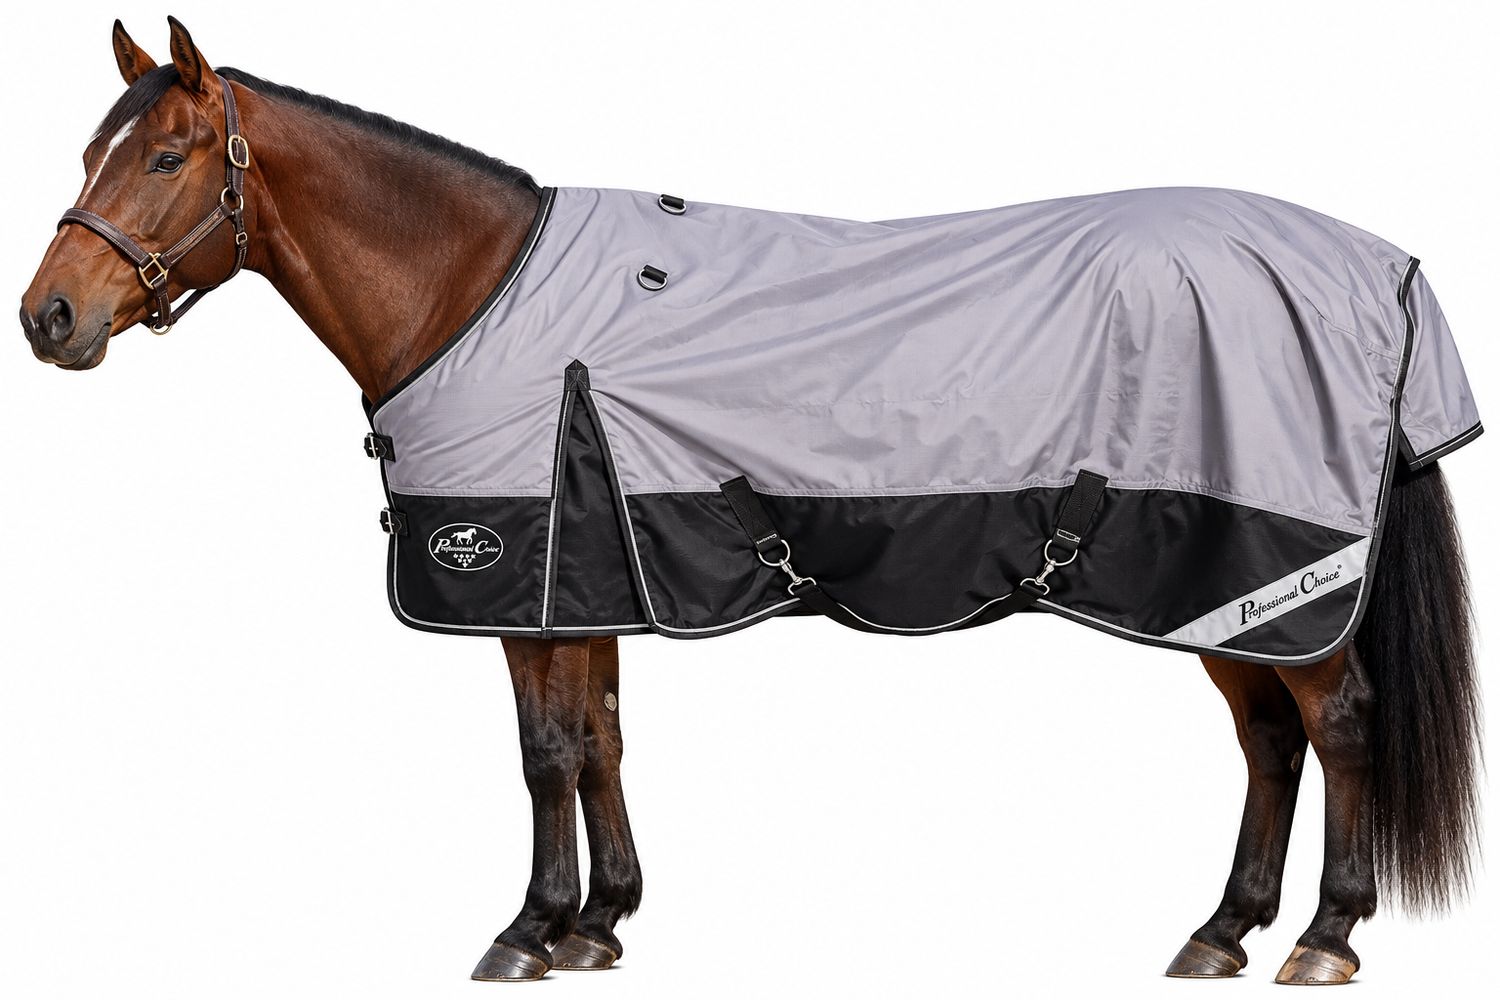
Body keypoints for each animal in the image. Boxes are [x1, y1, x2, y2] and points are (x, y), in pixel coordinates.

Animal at [19, 18, 1481, 986]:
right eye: (95, 150)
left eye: (165, 157)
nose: (49, 319)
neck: (475, 286)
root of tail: (1388, 270)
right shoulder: (586, 571)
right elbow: (600, 740)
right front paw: (602, 921)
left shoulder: (526, 574)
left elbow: (546, 752)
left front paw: (526, 932)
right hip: (1213, 584)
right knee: (1270, 743)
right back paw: (1219, 932)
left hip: (1264, 569)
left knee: (1337, 724)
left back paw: (1325, 936)